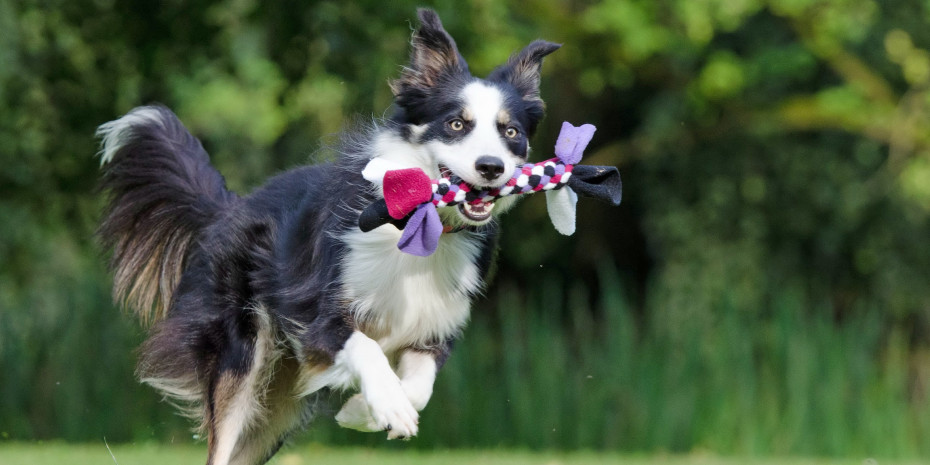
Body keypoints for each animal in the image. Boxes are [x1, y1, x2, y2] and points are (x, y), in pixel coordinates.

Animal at [97, 8, 560, 464]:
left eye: (511, 132)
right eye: (457, 123)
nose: (491, 167)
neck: (419, 225)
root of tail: (230, 207)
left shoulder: (433, 326)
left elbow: (420, 388)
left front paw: (366, 411)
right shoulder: (317, 317)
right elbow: (365, 347)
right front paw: (386, 406)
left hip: (275, 407)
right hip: (244, 356)